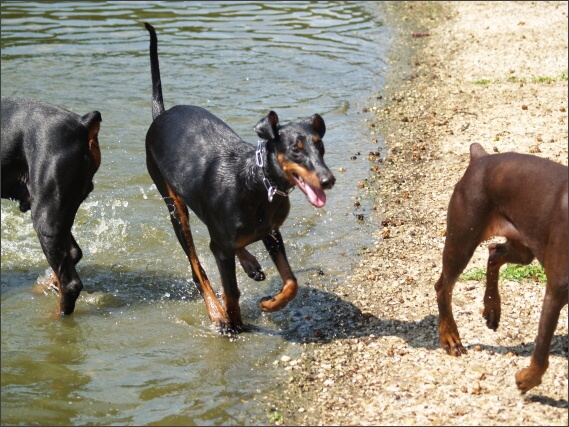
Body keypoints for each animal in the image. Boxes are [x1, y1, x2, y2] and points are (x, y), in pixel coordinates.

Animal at [144, 23, 336, 334]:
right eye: (296, 149)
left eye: (320, 146)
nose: (328, 179)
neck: (258, 184)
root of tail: (160, 115)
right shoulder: (222, 247)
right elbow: (230, 290)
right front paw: (232, 322)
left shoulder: (272, 232)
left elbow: (291, 281)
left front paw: (270, 304)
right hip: (174, 207)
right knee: (197, 267)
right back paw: (216, 311)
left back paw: (250, 264)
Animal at [434, 144, 564, 394]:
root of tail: (480, 158)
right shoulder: (555, 292)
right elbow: (541, 350)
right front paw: (526, 379)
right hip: (462, 239)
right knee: (443, 287)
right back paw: (450, 337)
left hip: (523, 248)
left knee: (493, 251)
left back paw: (492, 307)